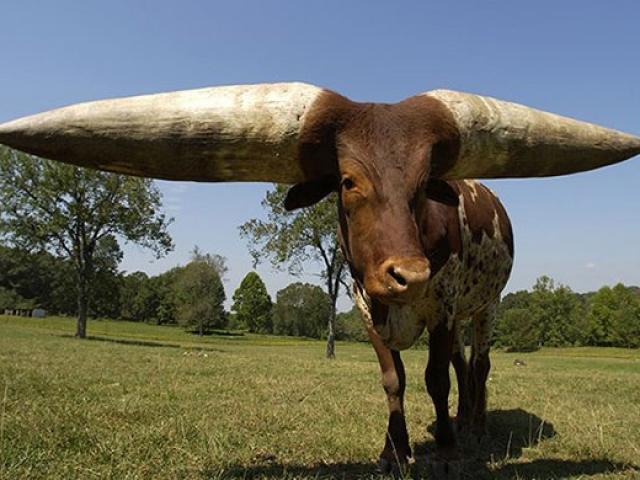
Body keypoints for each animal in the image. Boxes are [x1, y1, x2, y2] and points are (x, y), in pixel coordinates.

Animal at [1, 82, 640, 476]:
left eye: (424, 182)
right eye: (349, 182)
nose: (409, 274)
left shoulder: (442, 304)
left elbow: (433, 377)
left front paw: (445, 452)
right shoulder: (364, 305)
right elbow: (394, 381)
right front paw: (394, 452)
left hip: (486, 305)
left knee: (476, 364)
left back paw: (474, 426)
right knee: (463, 366)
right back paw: (457, 423)